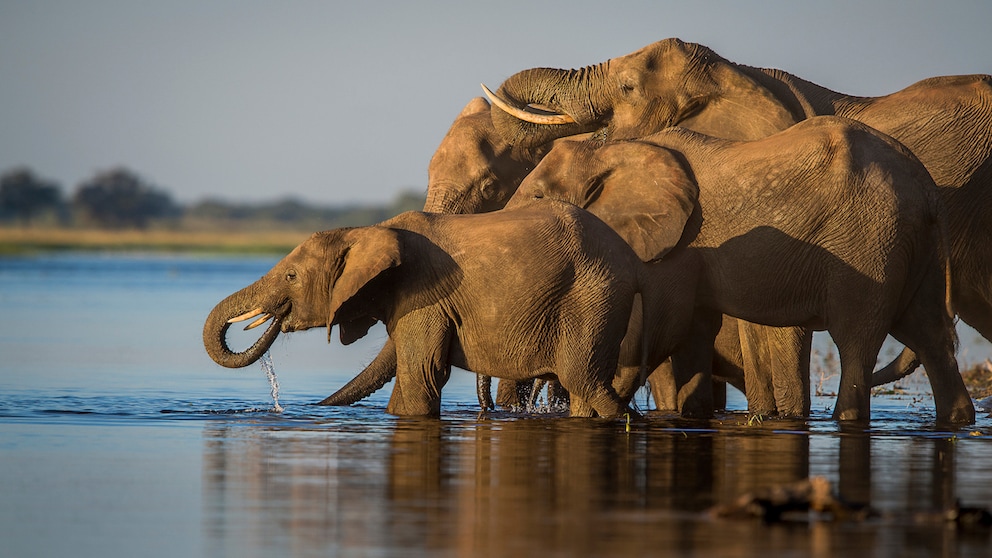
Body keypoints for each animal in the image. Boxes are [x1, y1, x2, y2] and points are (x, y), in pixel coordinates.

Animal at [202, 199, 680, 418]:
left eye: (291, 277)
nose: (282, 410)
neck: (370, 229)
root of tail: (634, 262)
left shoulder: (425, 296)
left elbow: (421, 374)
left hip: (592, 297)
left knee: (585, 380)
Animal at [486, 38, 992, 416]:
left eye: (628, 87)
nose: (530, 401)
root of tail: (925, 187)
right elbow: (696, 329)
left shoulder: (682, 241)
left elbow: (663, 323)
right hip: (918, 246)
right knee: (930, 338)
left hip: (871, 243)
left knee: (858, 343)